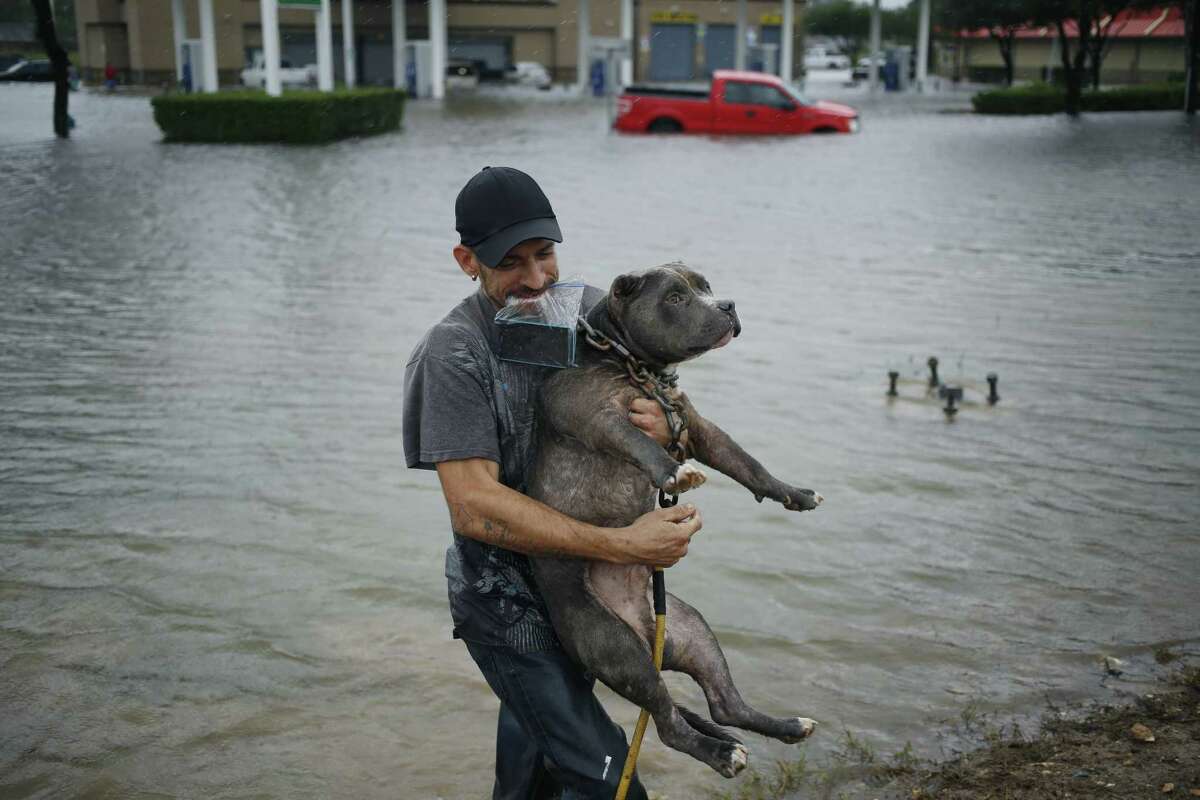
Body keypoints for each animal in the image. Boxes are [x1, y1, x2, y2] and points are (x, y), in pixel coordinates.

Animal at [532, 266, 825, 777]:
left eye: (705, 287)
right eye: (675, 297)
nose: (727, 304)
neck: (636, 367)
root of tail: (645, 630)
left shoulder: (693, 423)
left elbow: (746, 461)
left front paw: (793, 494)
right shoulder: (601, 417)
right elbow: (637, 441)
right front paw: (673, 472)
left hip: (693, 633)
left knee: (725, 706)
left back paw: (788, 727)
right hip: (616, 647)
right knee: (669, 724)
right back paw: (722, 753)